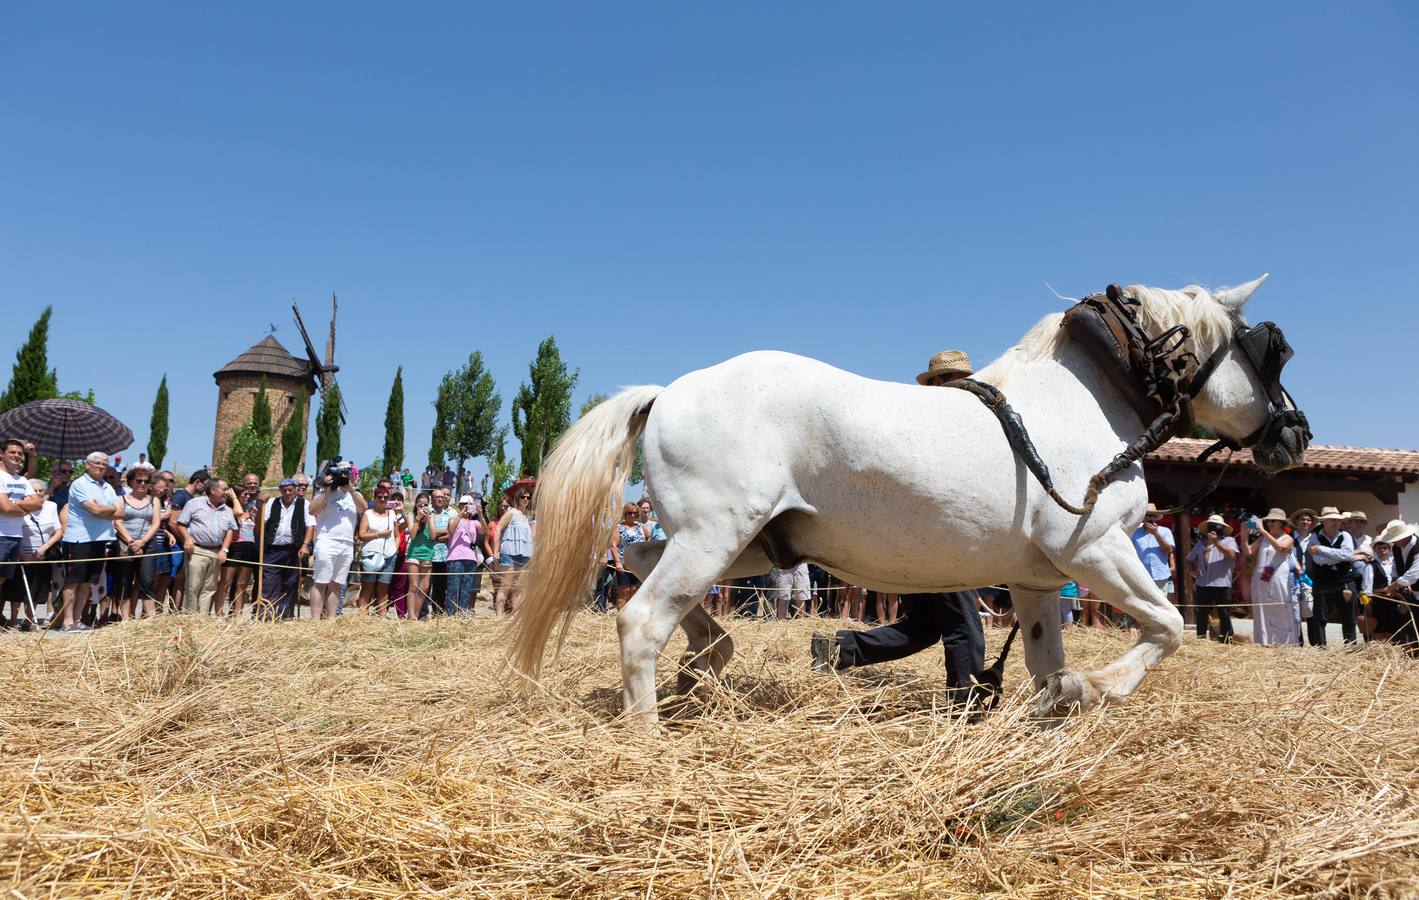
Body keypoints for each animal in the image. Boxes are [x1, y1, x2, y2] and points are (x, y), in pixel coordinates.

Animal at [510, 276, 1305, 726]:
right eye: (1267, 348)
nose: (1294, 434)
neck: (1087, 396)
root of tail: (668, 390)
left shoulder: (1036, 579)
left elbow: (1042, 659)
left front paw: (1052, 706)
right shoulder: (1094, 547)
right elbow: (1167, 625)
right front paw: (1092, 687)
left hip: (743, 545)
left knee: (641, 564)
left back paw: (705, 659)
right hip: (715, 537)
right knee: (641, 619)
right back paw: (648, 728)